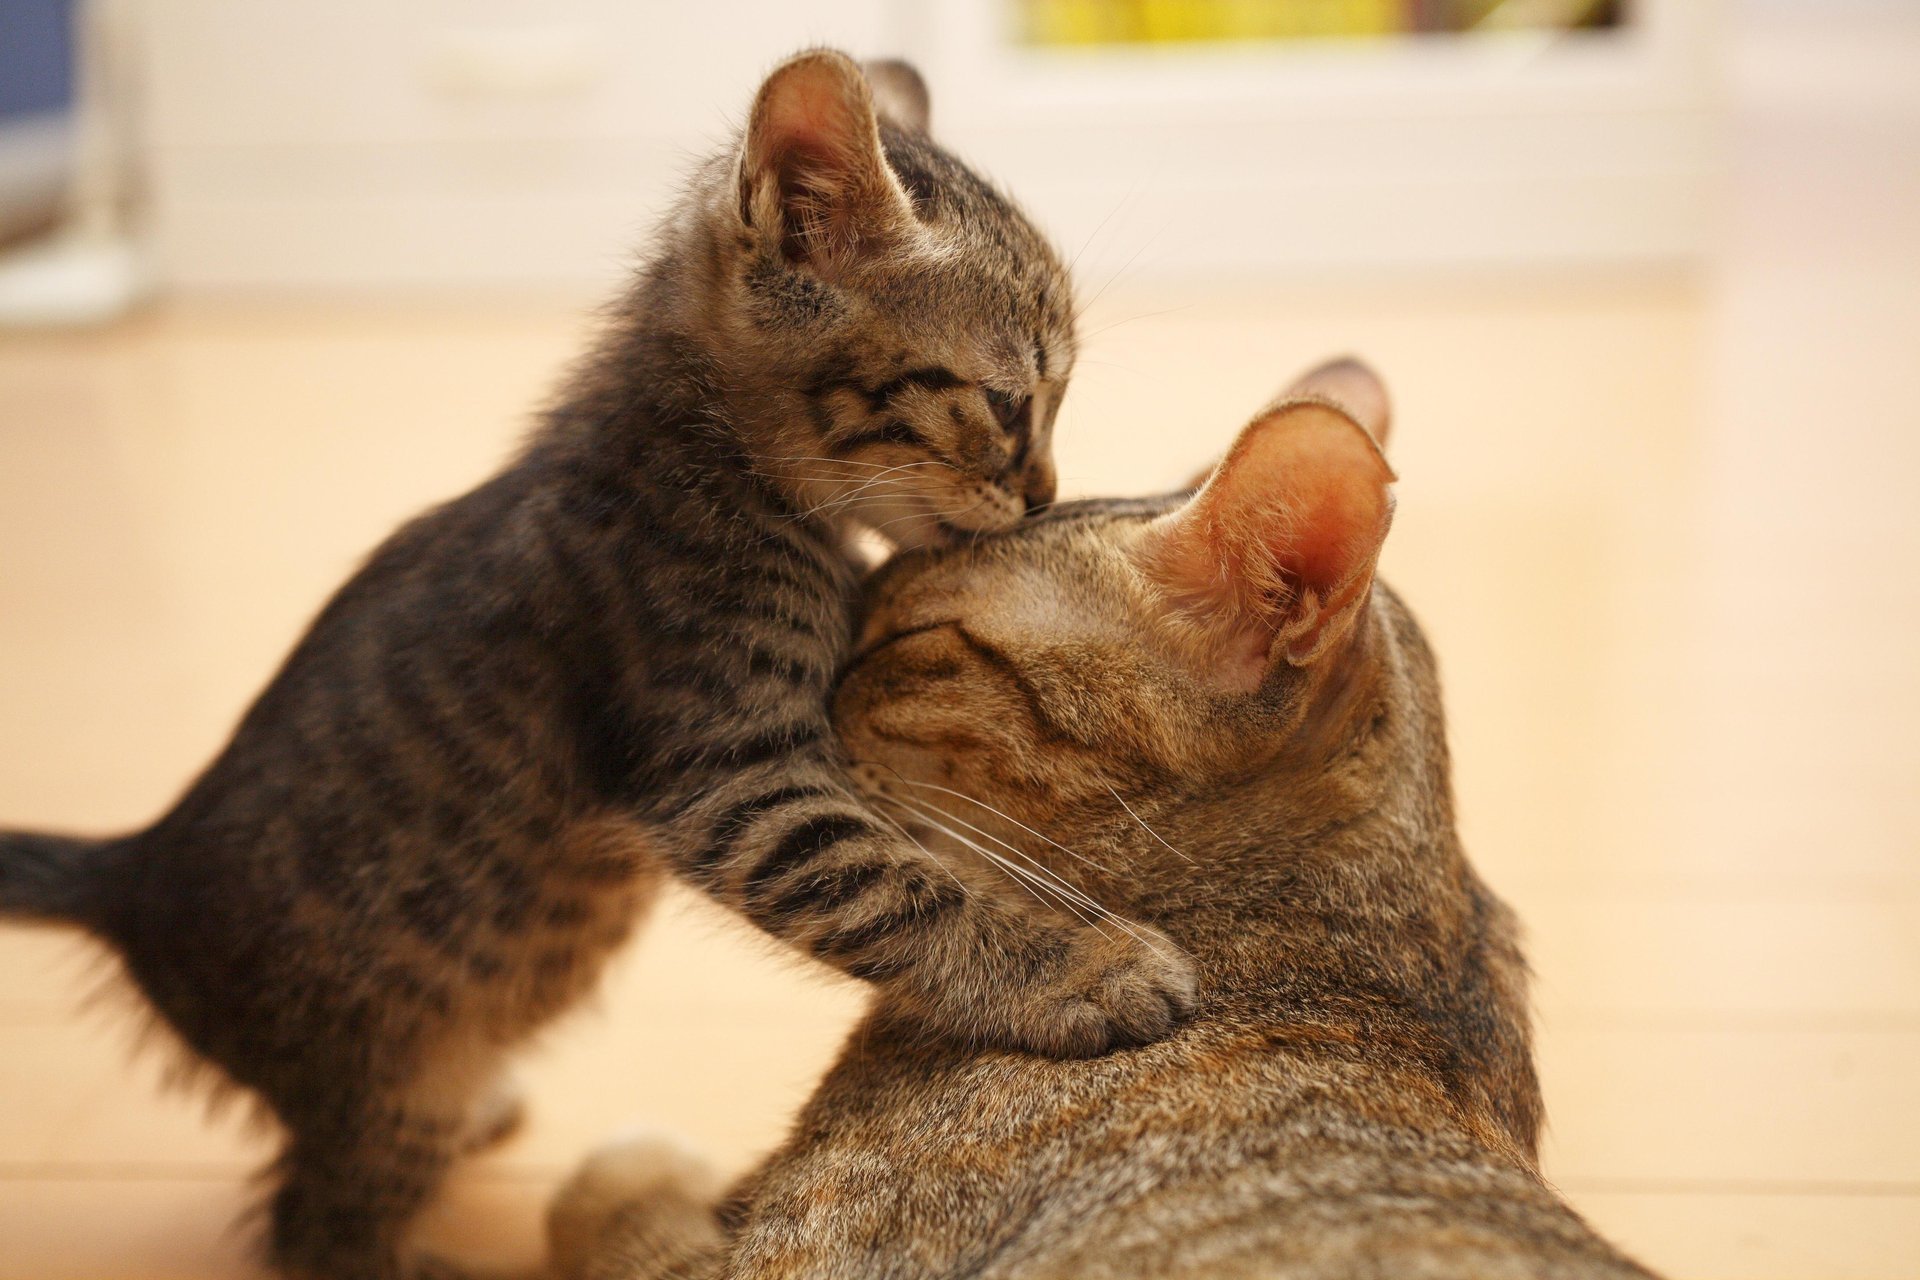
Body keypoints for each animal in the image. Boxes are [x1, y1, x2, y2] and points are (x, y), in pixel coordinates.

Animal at [0, 50, 1190, 1280]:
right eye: (1007, 401)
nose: (1045, 493)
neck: (717, 464)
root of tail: (137, 872)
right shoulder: (728, 777)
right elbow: (899, 886)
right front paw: (1083, 968)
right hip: (395, 1076)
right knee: (310, 1231)